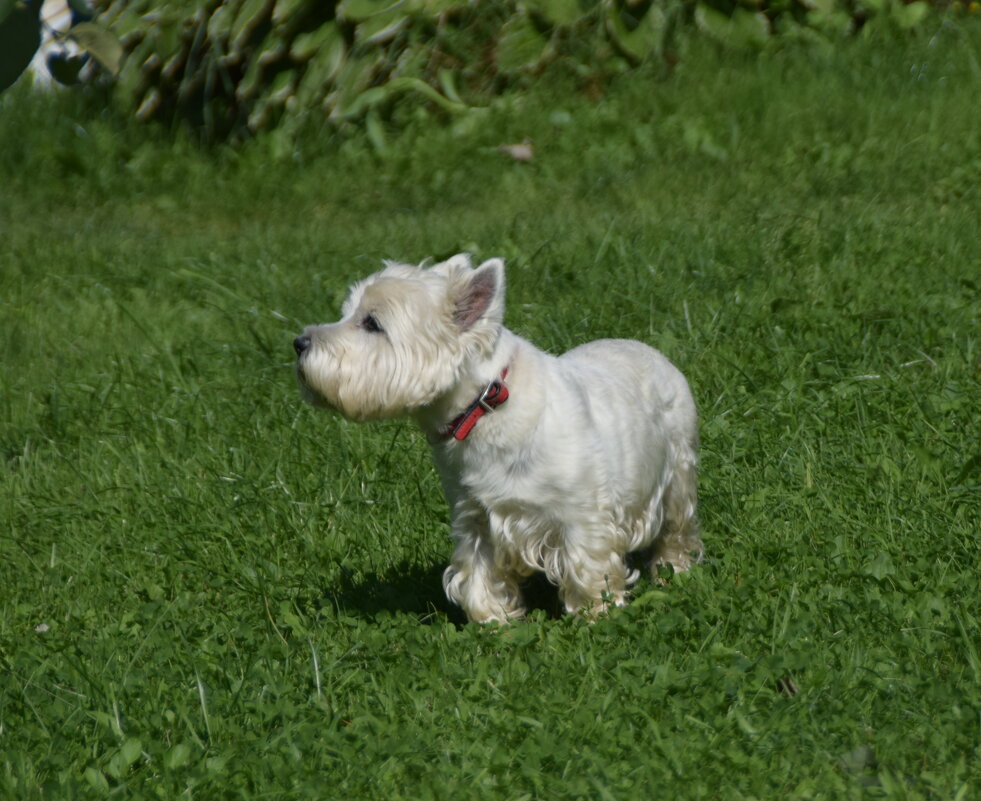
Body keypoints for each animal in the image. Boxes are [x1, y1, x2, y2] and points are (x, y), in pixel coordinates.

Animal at [294, 253, 700, 620]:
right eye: (348, 313)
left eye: (372, 323)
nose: (299, 342)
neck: (483, 408)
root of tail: (645, 347)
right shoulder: (475, 515)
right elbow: (478, 573)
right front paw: (494, 621)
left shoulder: (583, 516)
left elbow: (588, 566)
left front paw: (596, 613)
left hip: (677, 474)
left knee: (677, 530)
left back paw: (672, 572)